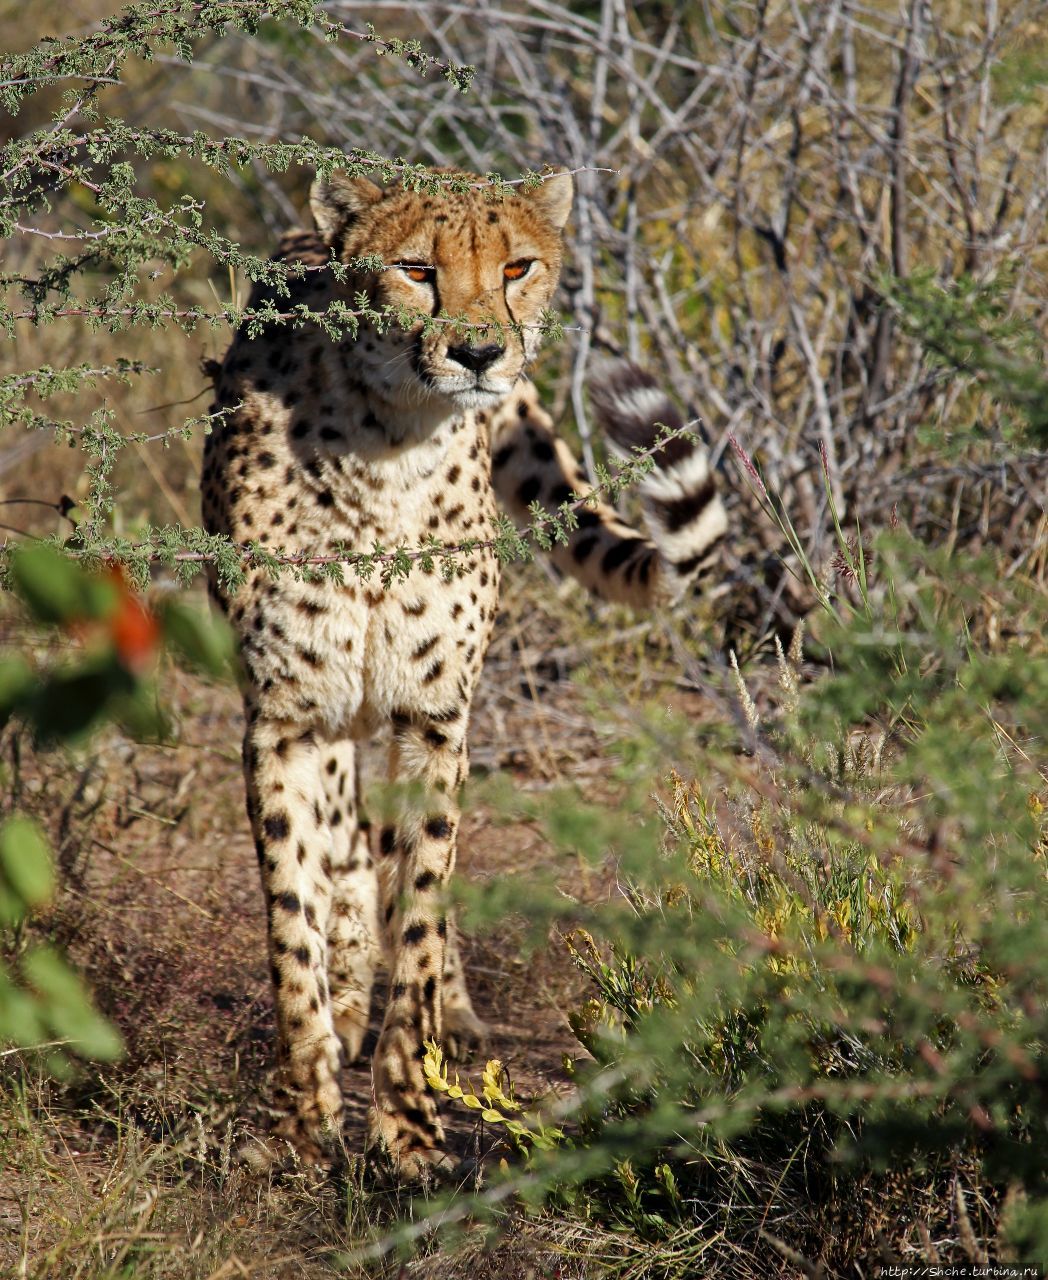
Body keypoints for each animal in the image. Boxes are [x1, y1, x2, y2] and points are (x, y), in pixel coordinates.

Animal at [203, 170, 731, 1177]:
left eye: (516, 266)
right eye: (417, 269)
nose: (481, 352)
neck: (389, 447)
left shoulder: (434, 718)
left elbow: (420, 910)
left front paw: (408, 1121)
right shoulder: (288, 716)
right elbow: (293, 917)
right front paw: (306, 1114)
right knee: (344, 850)